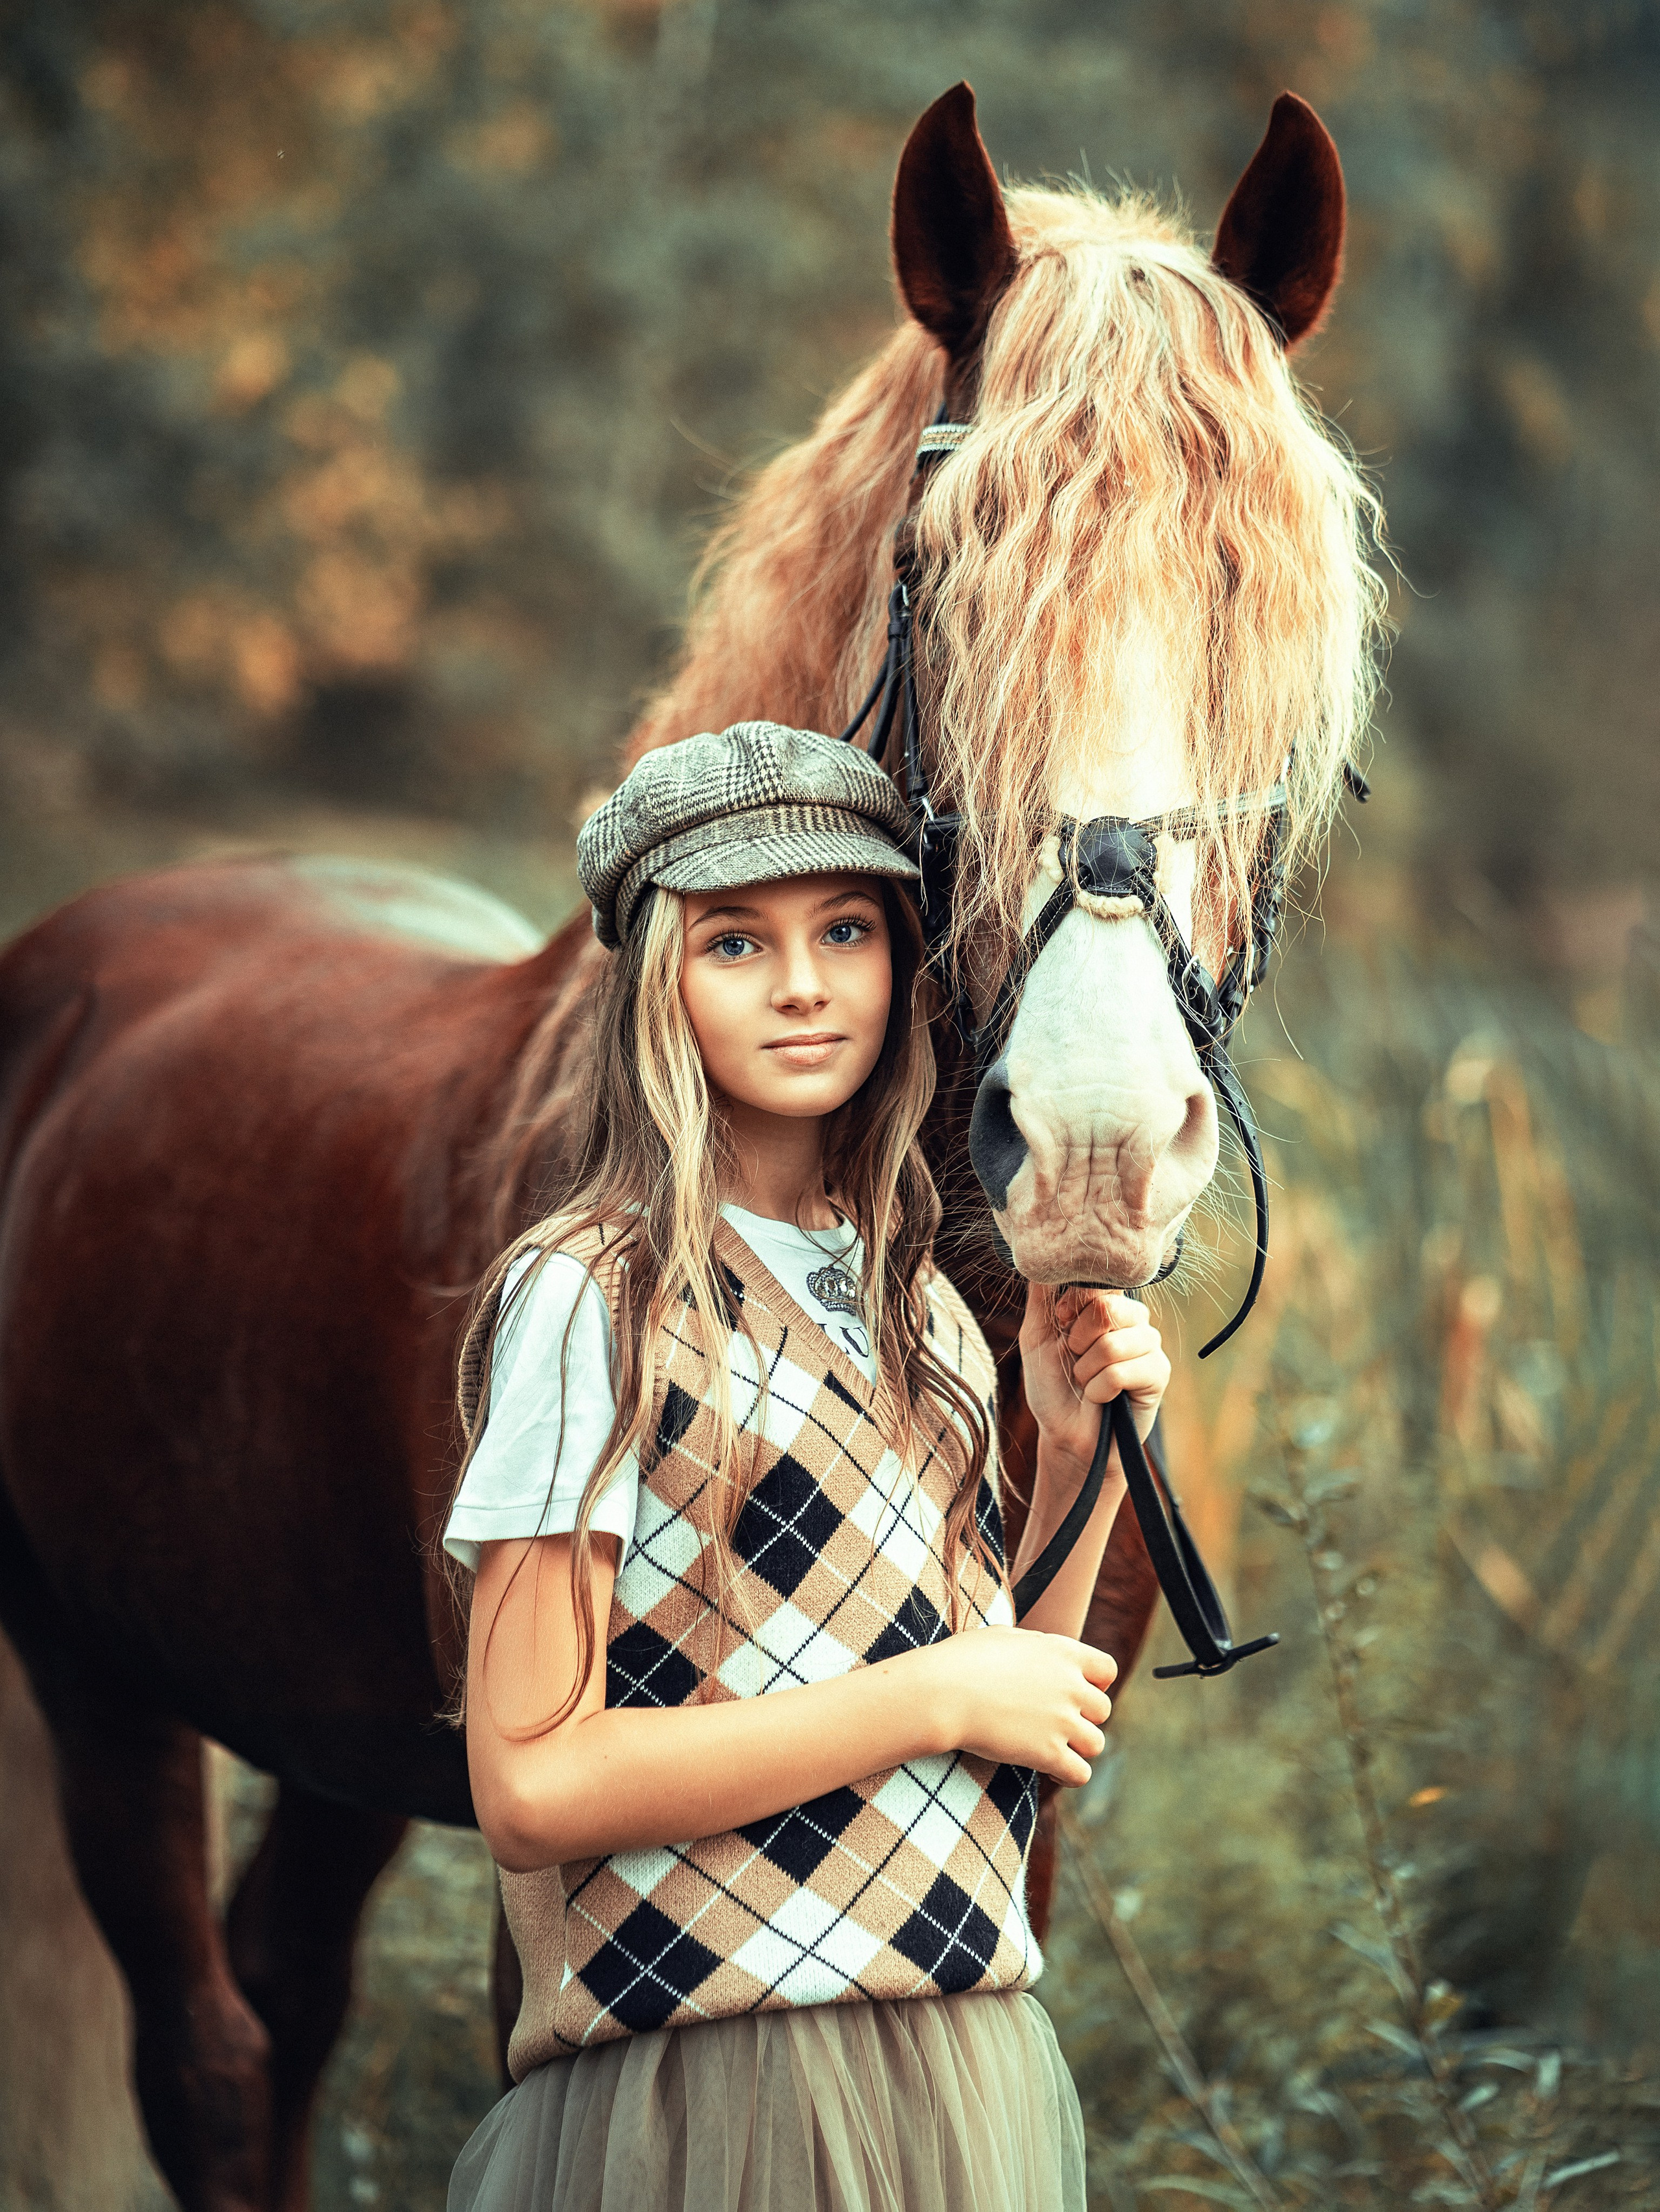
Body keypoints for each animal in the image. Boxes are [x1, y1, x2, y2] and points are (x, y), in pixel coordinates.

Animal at [0, 83, 1381, 2212]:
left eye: (1261, 591)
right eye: (936, 574)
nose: (1091, 1136)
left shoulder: (1039, 1779)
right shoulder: (552, 1826)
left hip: (319, 1721)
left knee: (281, 1999)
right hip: (100, 1679)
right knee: (212, 2060)